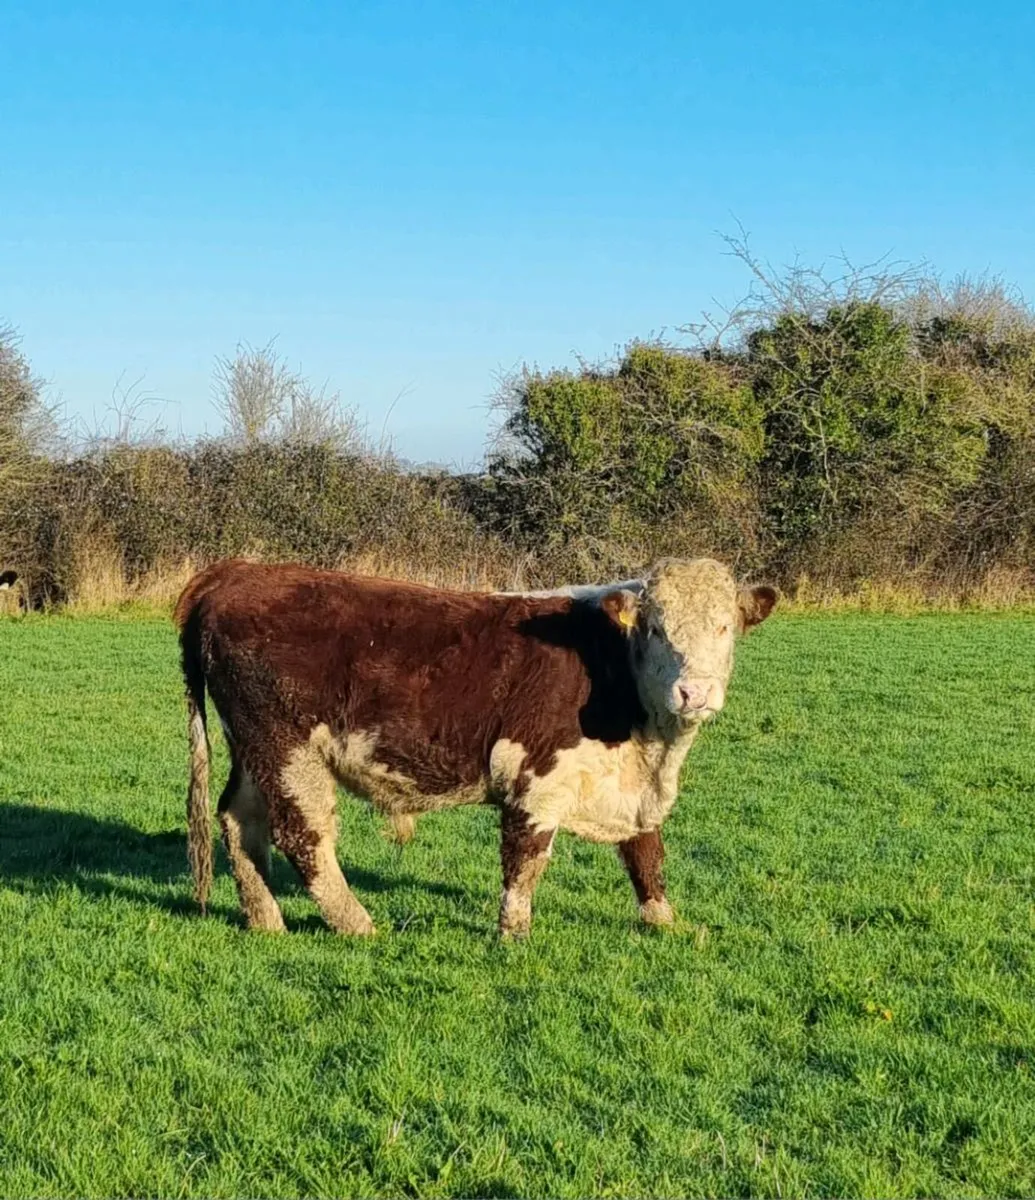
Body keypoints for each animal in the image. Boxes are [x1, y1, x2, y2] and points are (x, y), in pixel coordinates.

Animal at [174, 557, 775, 937]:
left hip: (254, 749)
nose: (694, 691)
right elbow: (525, 862)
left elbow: (646, 851)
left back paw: (266, 921)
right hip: (287, 746)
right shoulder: (535, 780)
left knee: (239, 822)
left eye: (726, 627)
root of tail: (237, 572)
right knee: (304, 834)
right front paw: (514, 936)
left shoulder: (632, 788)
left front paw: (665, 923)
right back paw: (359, 924)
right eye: (655, 628)